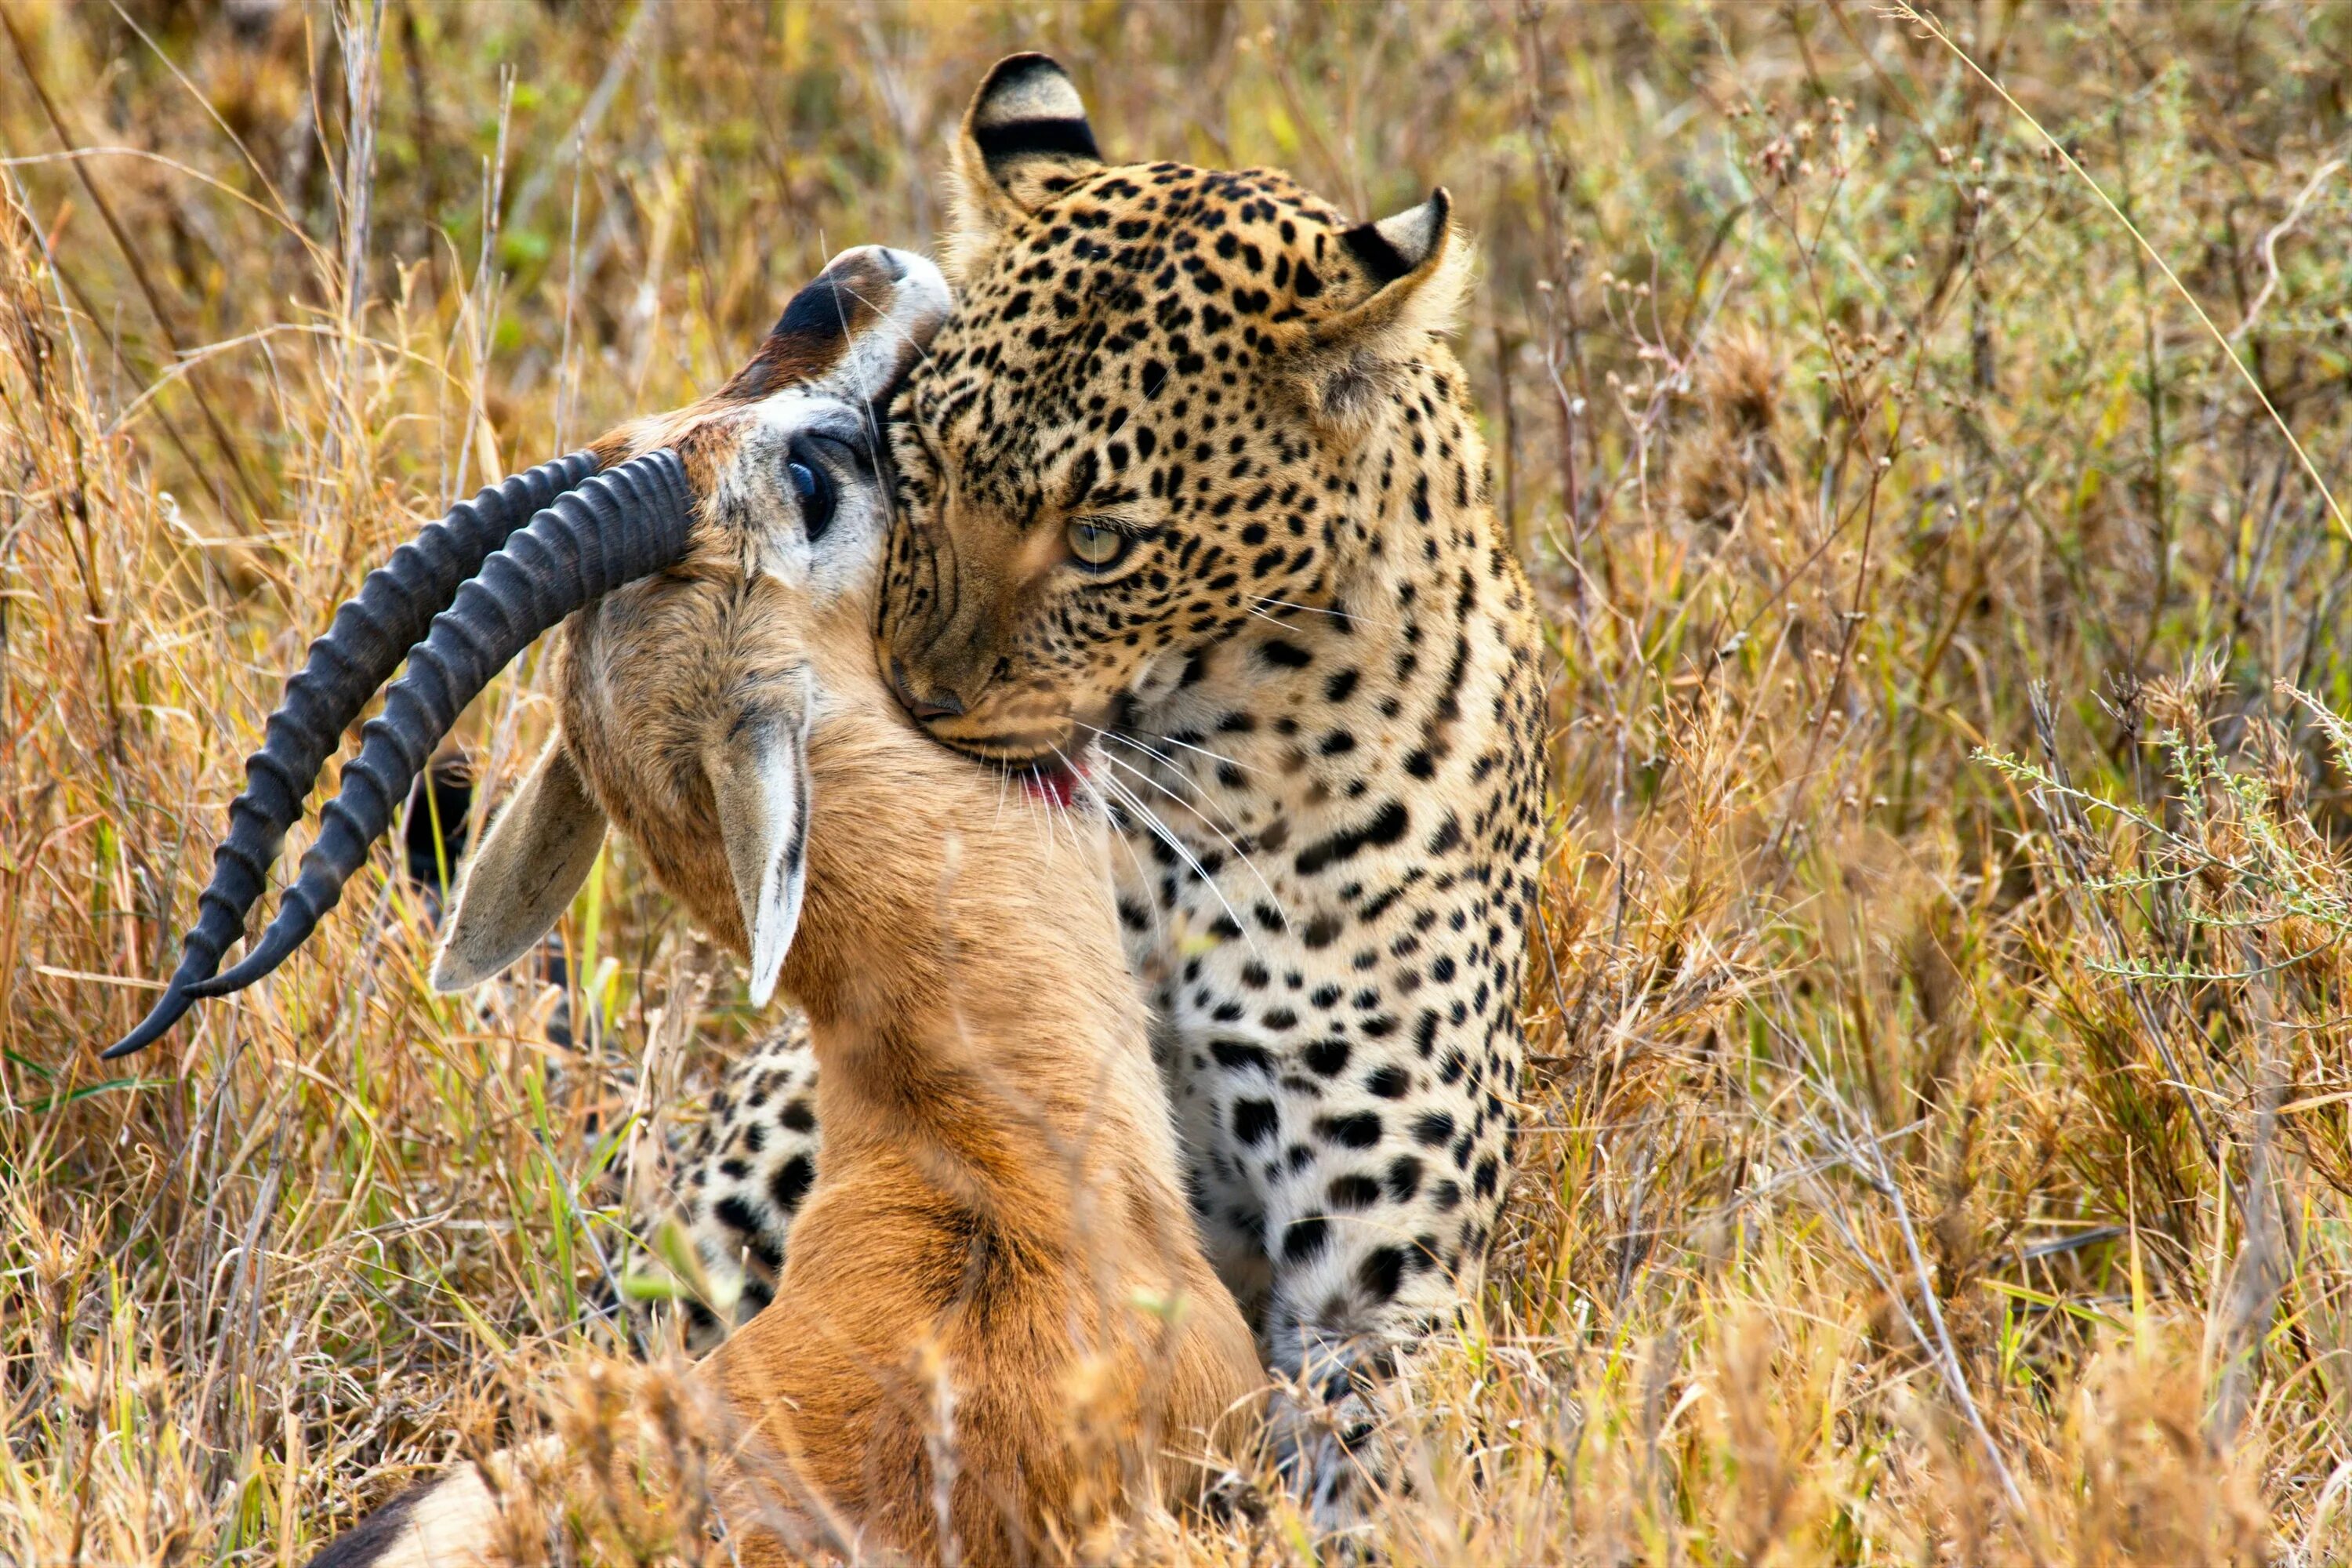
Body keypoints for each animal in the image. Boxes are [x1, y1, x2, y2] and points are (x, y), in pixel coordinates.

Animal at [673, 58, 1543, 1533]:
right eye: (920, 459)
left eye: (1101, 540)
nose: (915, 695)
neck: (1193, 770)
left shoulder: (1380, 1282)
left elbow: (1373, 1482)